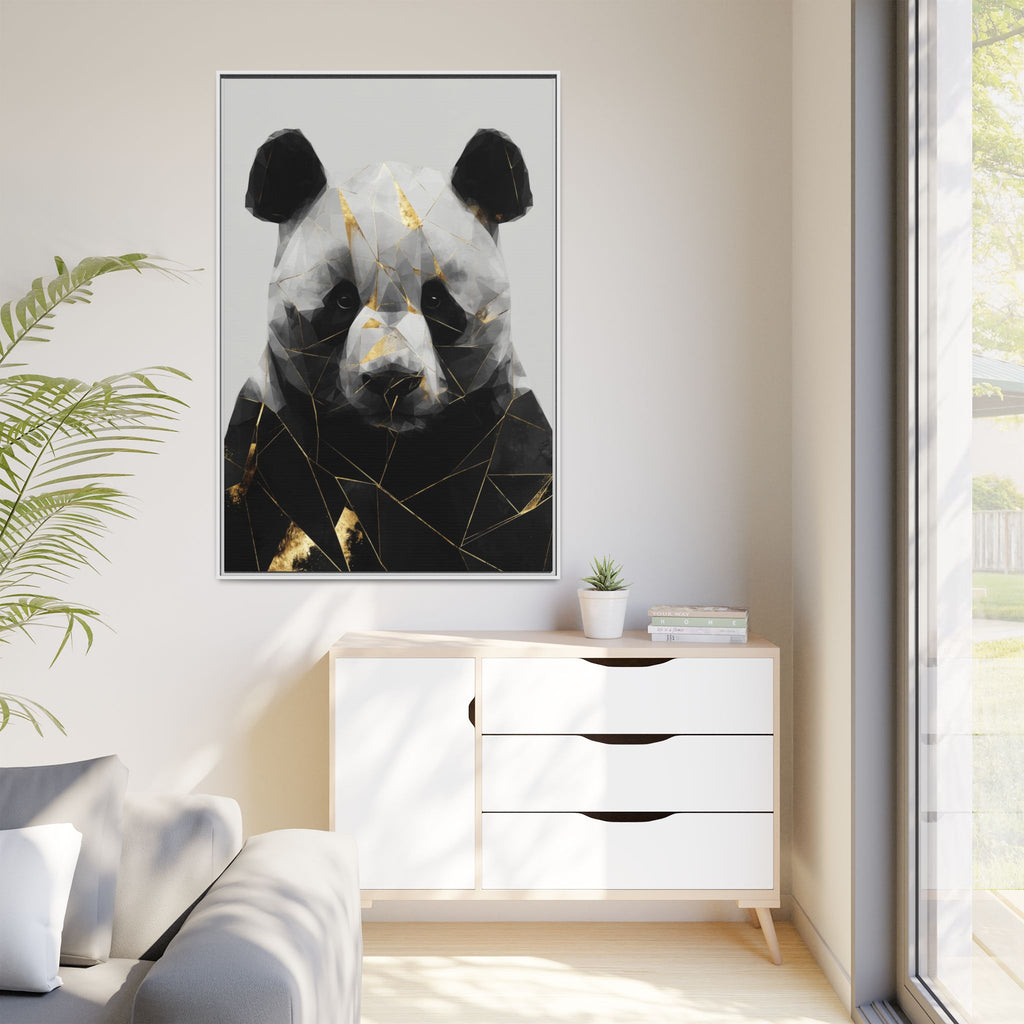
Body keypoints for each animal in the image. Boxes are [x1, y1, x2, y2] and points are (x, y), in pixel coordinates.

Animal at [223, 128, 553, 574]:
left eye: (436, 300)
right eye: (343, 300)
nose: (392, 380)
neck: (389, 457)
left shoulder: (509, 446)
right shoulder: (267, 442)